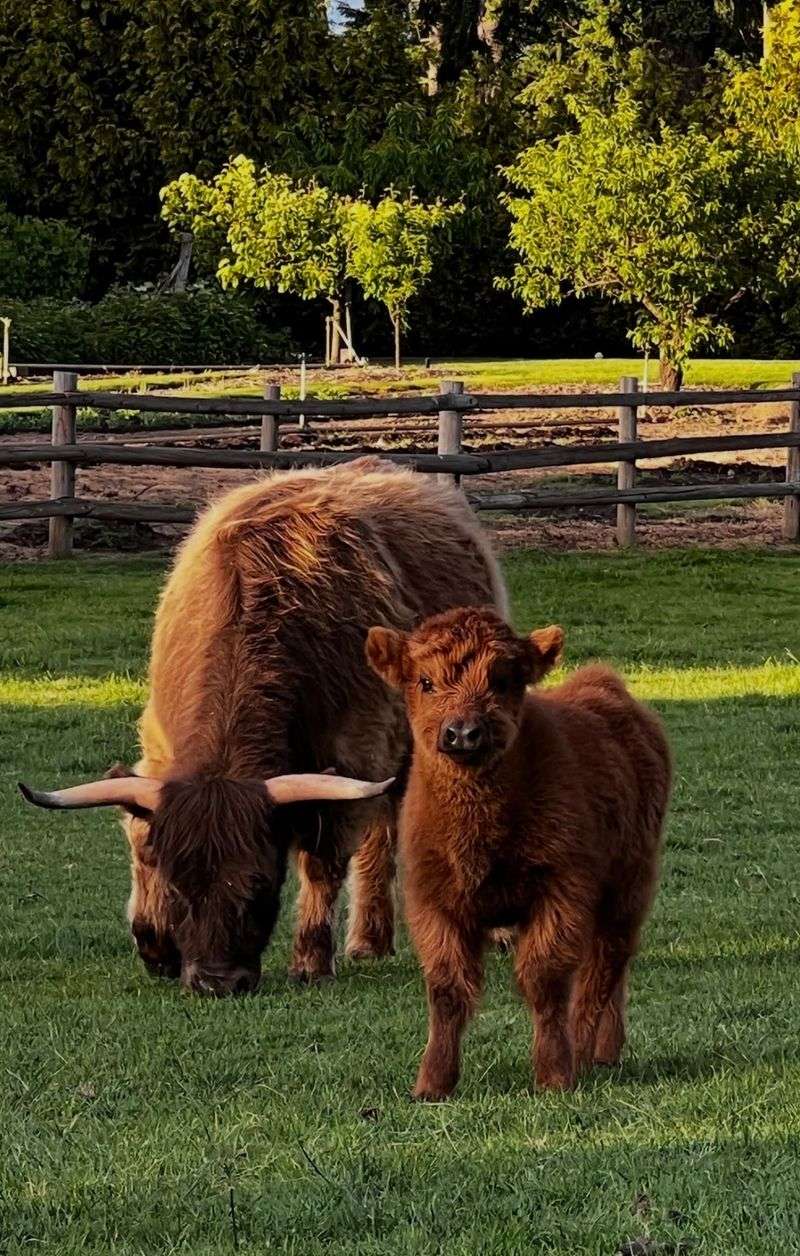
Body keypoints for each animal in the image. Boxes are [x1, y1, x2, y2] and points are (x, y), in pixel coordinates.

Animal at [21, 460, 506, 995]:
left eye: (258, 885)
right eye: (179, 885)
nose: (217, 982)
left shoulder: (355, 751)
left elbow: (322, 860)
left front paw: (310, 962)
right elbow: (142, 841)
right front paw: (155, 945)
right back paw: (368, 943)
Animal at [366, 606, 671, 1099]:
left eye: (504, 680)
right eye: (425, 682)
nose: (464, 732)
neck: (479, 839)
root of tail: (603, 686)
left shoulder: (560, 893)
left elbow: (545, 980)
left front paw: (554, 1073)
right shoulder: (433, 903)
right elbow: (447, 989)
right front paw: (433, 1082)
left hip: (629, 886)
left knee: (604, 965)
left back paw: (585, 1052)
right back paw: (606, 1051)